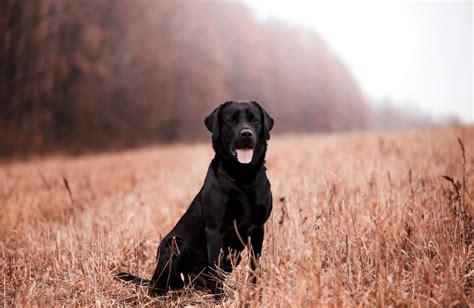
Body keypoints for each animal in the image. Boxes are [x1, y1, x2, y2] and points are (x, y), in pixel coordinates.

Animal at [117, 100, 274, 296]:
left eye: (254, 119)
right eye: (231, 119)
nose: (246, 134)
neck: (243, 178)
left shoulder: (258, 228)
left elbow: (254, 266)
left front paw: (254, 294)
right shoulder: (215, 229)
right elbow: (215, 267)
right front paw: (221, 298)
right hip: (174, 244)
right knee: (160, 286)